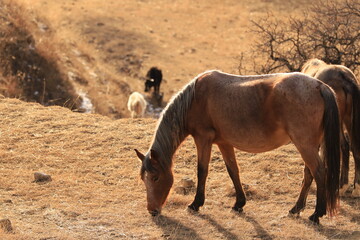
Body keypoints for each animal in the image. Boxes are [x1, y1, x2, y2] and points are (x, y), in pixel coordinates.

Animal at [134, 70, 340, 224]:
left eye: (155, 177)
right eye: (143, 179)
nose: (152, 210)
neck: (195, 99)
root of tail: (319, 85)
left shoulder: (203, 139)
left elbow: (202, 171)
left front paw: (196, 203)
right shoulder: (224, 143)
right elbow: (233, 170)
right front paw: (239, 203)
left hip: (305, 145)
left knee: (319, 172)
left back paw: (316, 214)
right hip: (310, 145)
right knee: (309, 174)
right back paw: (296, 208)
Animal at [300, 58, 360, 197]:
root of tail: (343, 77)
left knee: (344, 146)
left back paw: (343, 186)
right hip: (347, 119)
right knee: (352, 147)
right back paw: (352, 187)